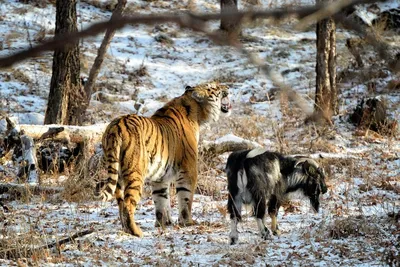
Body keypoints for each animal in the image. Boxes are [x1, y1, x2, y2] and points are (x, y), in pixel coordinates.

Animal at [96, 81, 231, 237]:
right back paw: (136, 232)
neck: (197, 113)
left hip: (118, 175)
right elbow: (186, 198)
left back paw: (125, 229)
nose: (228, 87)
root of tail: (116, 126)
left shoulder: (160, 176)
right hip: (135, 173)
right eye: (215, 87)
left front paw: (163, 223)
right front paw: (187, 222)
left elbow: (161, 200)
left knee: (120, 202)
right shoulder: (188, 170)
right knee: (128, 203)